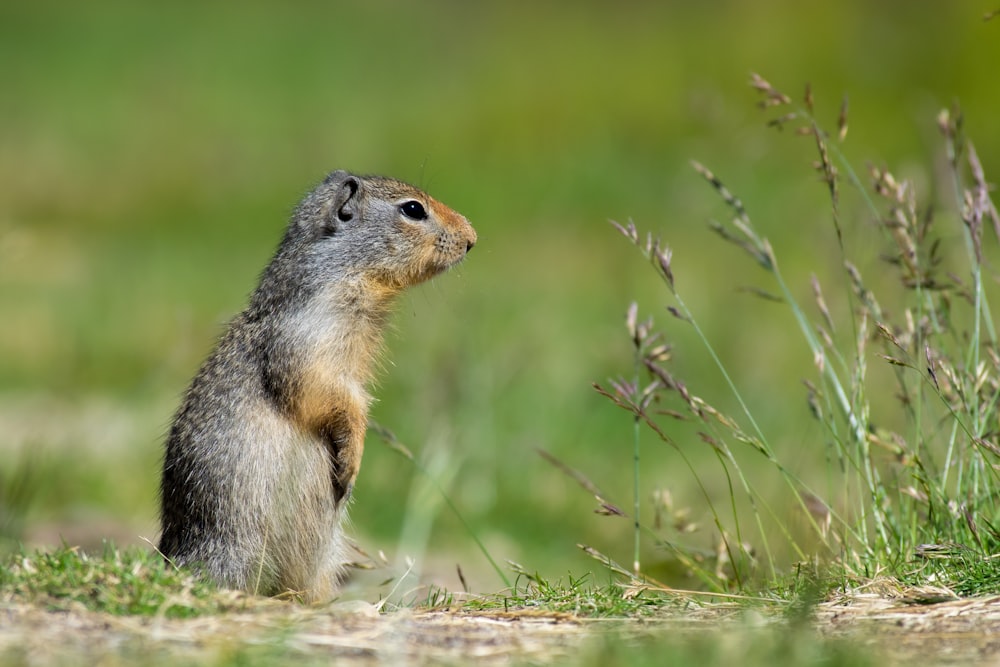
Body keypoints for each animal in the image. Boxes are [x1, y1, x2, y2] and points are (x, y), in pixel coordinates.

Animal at [159, 170, 476, 604]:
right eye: (413, 209)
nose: (472, 238)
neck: (343, 273)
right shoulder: (311, 336)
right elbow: (328, 395)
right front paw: (353, 459)